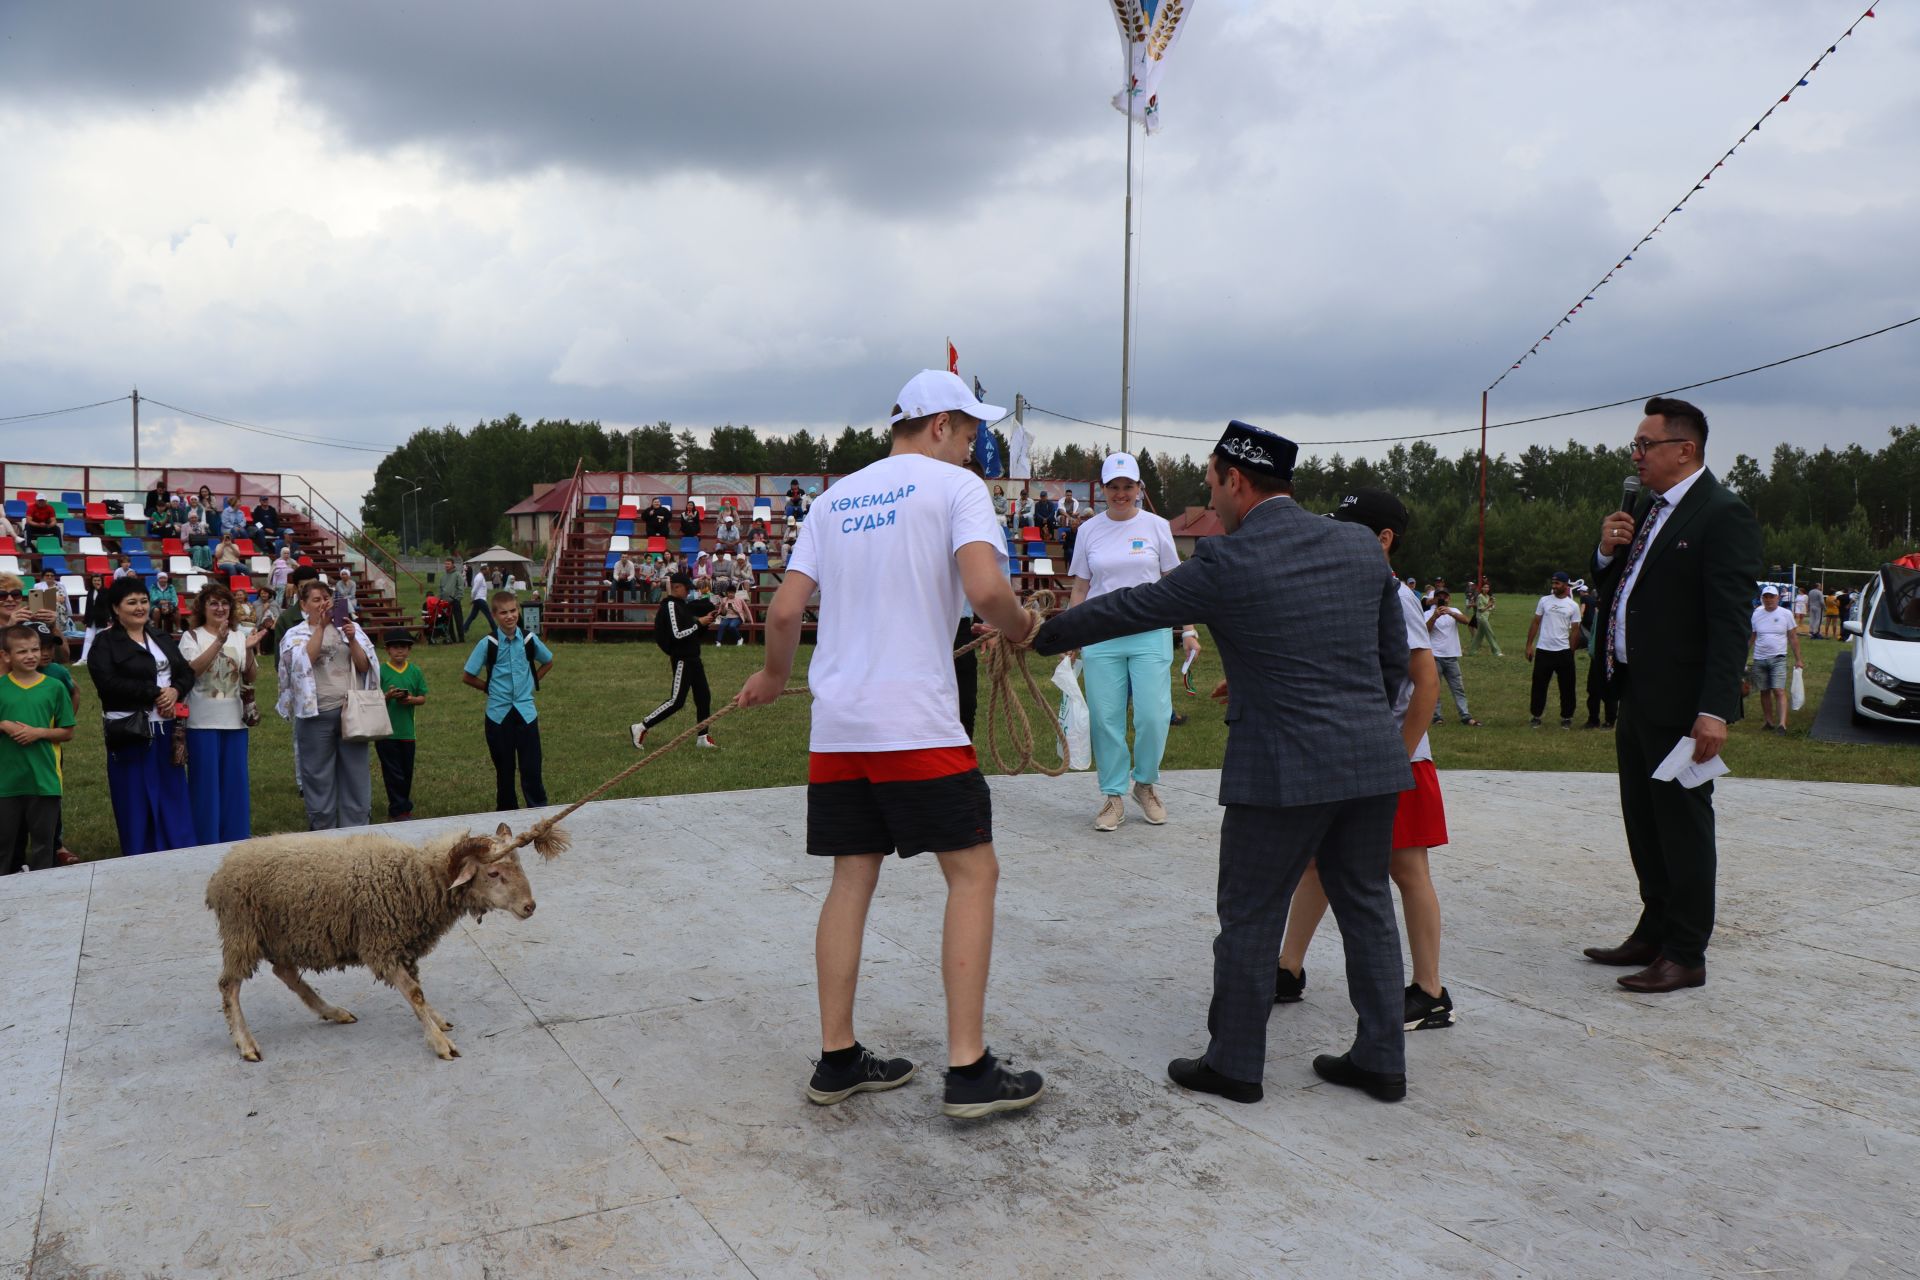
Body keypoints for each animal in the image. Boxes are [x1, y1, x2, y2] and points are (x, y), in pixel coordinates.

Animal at [211, 821, 572, 1059]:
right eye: (494, 874)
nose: (529, 906)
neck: (412, 879)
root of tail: (219, 874)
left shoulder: (402, 946)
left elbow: (418, 991)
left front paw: (436, 1020)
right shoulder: (380, 946)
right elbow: (413, 993)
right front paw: (439, 1043)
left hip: (281, 936)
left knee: (285, 973)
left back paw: (333, 1012)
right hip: (242, 931)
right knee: (229, 985)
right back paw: (246, 1043)